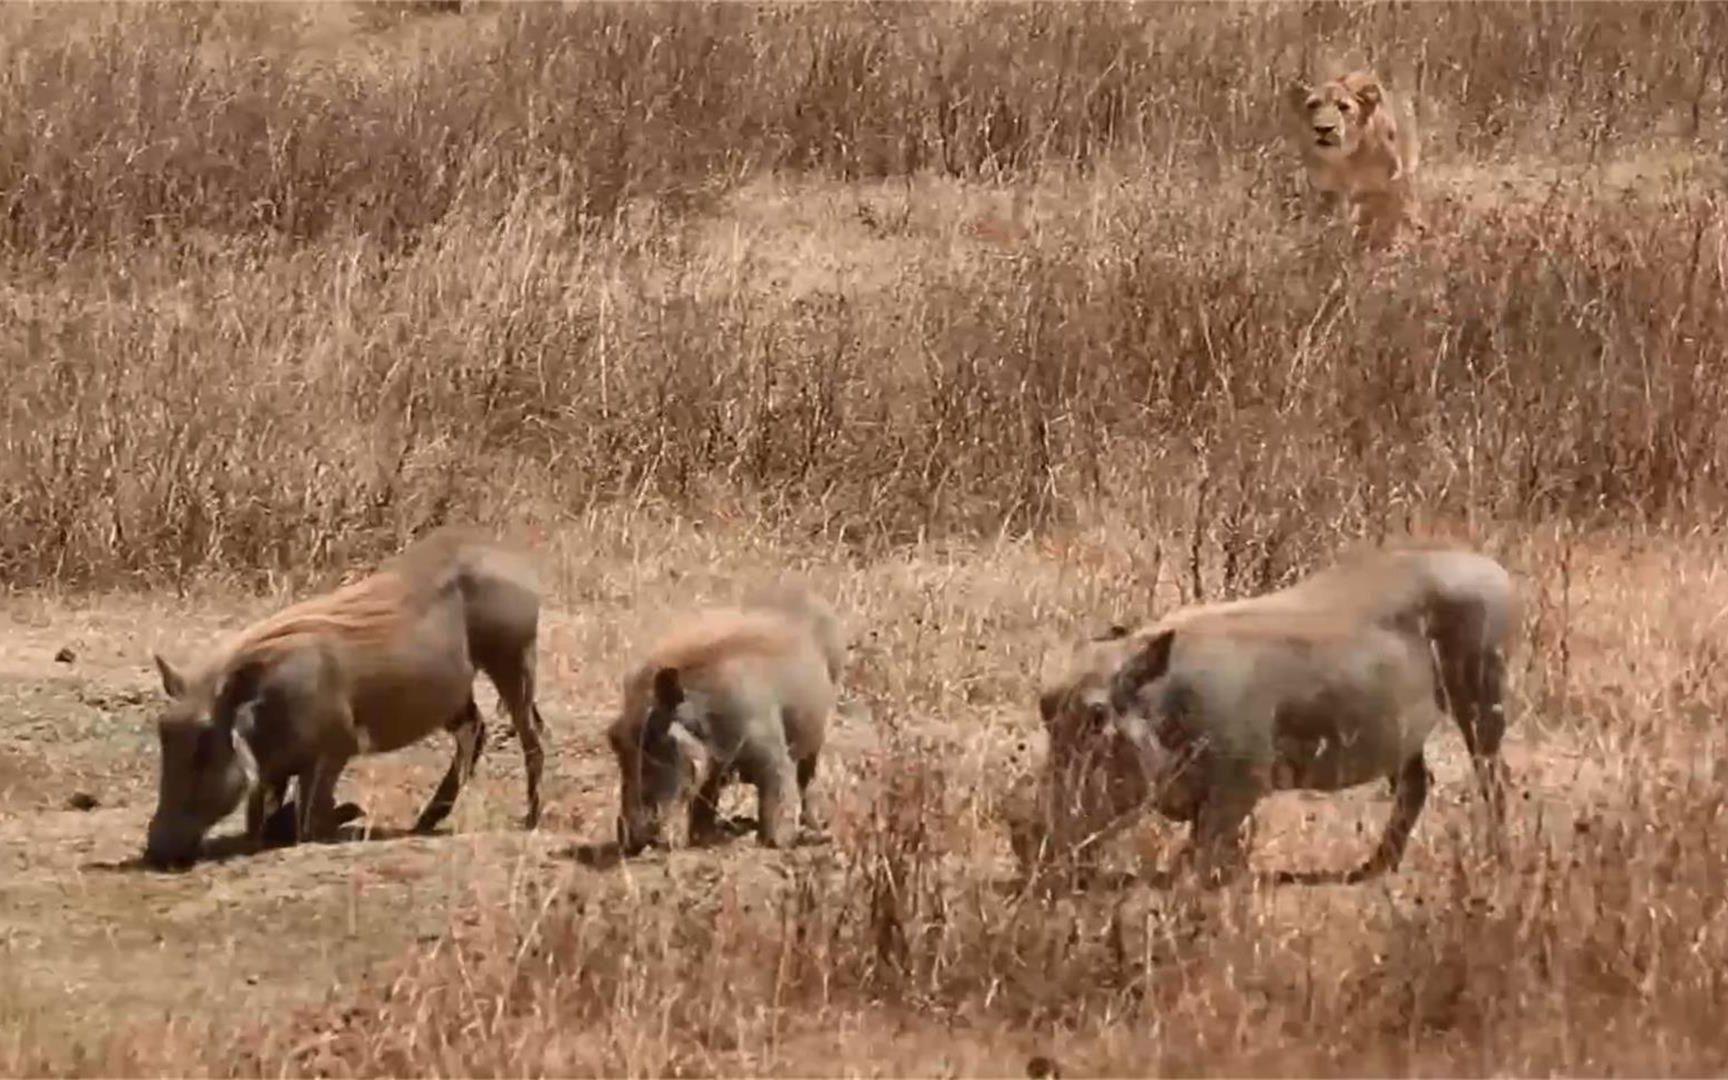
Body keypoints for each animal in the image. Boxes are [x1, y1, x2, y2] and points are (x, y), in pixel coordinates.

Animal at [1292, 69, 1423, 250]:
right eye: (1312, 105)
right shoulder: (1325, 190)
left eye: (1343, 107)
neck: (1346, 159)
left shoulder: (1386, 188)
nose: (1323, 129)